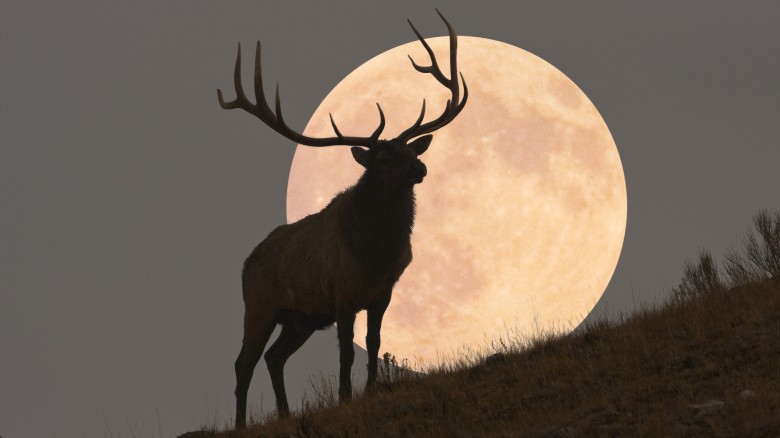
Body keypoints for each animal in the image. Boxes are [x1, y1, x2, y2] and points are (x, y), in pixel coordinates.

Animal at [216, 10, 466, 428]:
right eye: (382, 157)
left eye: (409, 150)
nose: (420, 167)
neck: (374, 253)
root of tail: (246, 263)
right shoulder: (342, 294)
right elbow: (347, 353)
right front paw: (346, 398)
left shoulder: (383, 293)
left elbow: (374, 344)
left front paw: (369, 390)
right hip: (259, 304)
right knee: (242, 363)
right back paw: (239, 424)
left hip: (300, 318)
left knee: (273, 357)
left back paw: (285, 413)